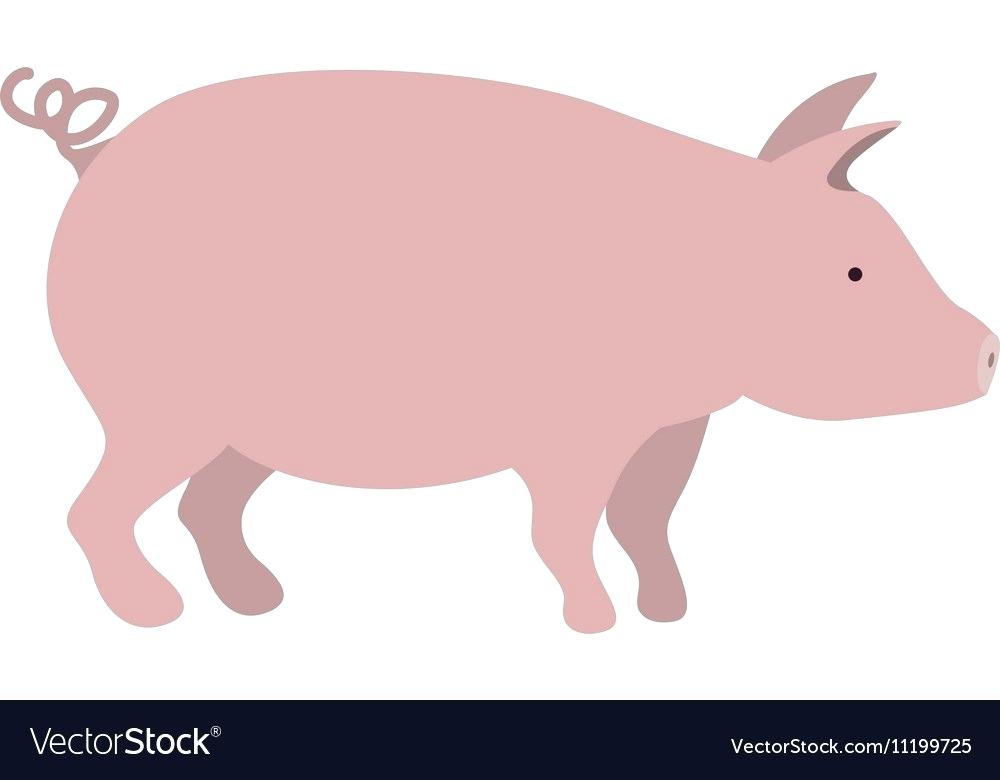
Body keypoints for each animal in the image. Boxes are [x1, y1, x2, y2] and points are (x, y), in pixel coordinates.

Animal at [3, 68, 996, 631]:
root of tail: (89, 157)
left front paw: (670, 616)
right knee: (94, 510)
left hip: (244, 431)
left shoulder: (678, 428)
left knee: (204, 506)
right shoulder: (576, 435)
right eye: (857, 271)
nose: (990, 350)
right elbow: (563, 528)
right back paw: (156, 618)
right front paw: (597, 629)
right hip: (156, 411)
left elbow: (647, 519)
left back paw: (261, 605)